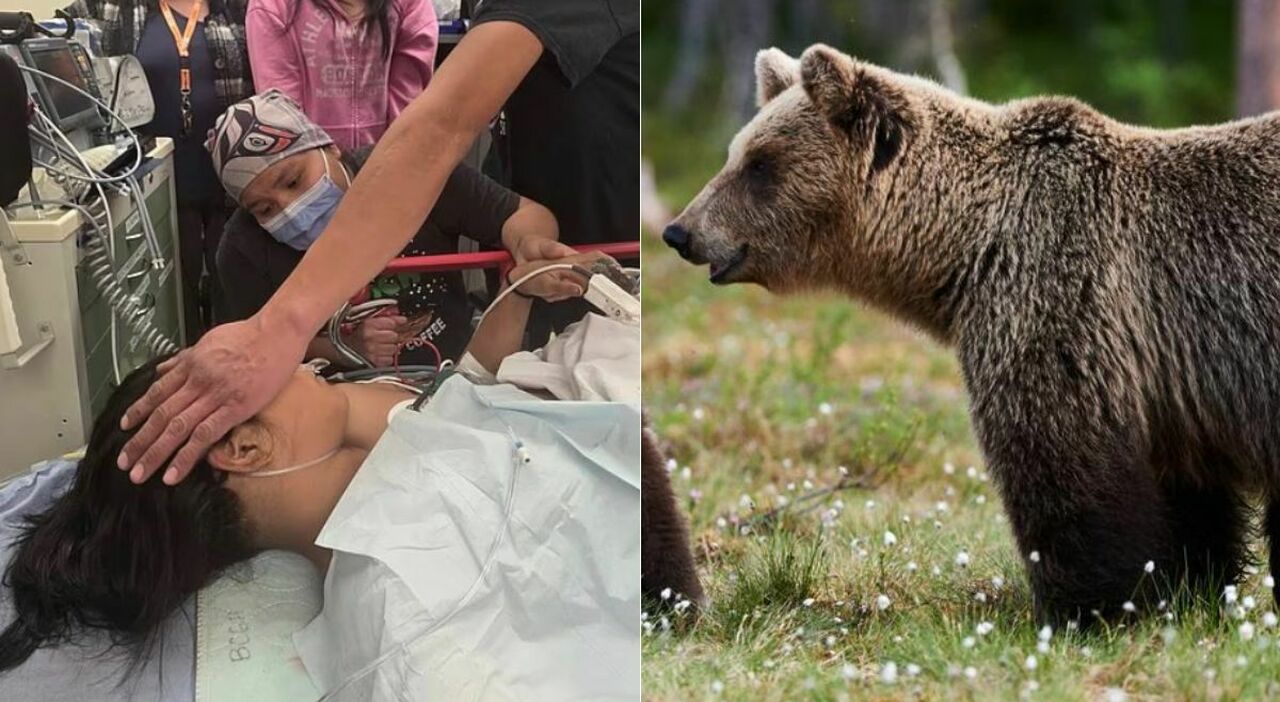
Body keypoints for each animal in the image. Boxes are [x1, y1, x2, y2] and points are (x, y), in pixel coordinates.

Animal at [662, 43, 1280, 625]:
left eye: (759, 164)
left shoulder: (1058, 300)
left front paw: (1087, 608)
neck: (966, 248)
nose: (680, 231)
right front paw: (1189, 586)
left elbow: (1060, 461)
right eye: (736, 153)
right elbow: (1188, 496)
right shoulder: (1171, 381)